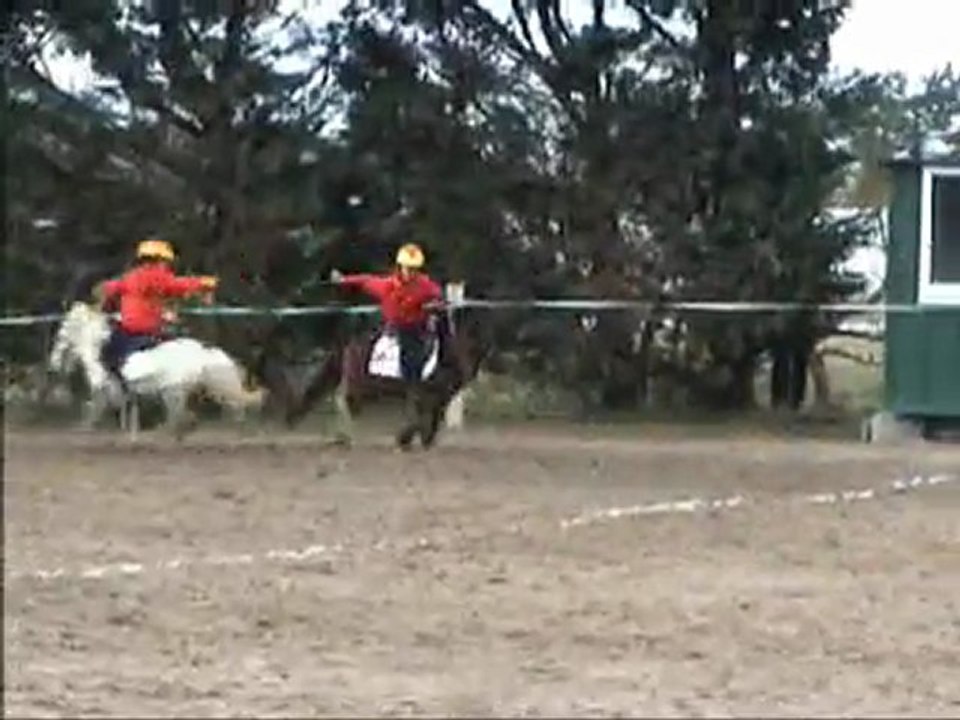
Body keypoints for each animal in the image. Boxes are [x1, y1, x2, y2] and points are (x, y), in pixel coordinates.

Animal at [47, 301, 266, 438]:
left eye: (62, 332)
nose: (54, 363)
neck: (101, 344)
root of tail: (204, 350)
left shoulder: (105, 386)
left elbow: (94, 406)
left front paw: (84, 428)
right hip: (182, 390)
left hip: (173, 391)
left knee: (179, 416)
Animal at [283, 309, 486, 450]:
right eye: (467, 350)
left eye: (476, 352)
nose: (470, 372)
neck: (445, 355)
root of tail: (350, 343)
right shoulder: (427, 393)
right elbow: (421, 417)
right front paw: (406, 439)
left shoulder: (439, 396)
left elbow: (430, 418)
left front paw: (421, 440)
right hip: (360, 381)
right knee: (347, 401)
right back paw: (346, 436)